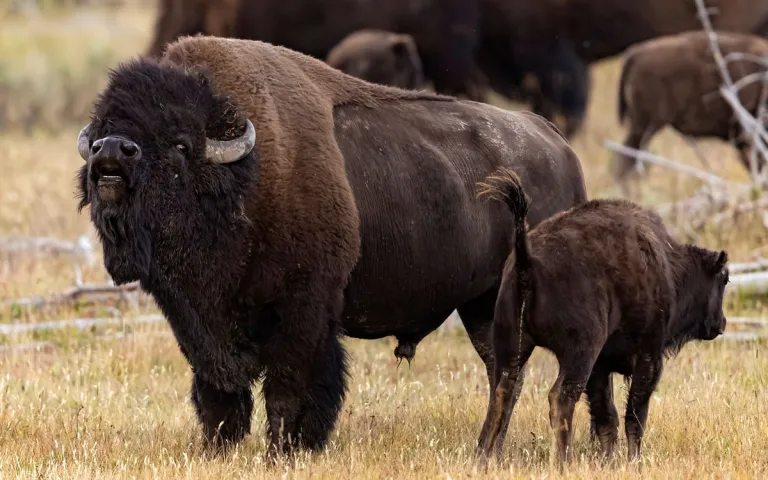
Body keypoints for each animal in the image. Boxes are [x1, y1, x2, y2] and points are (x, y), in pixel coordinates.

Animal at [76, 36, 587, 456]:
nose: (111, 151)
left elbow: (289, 387)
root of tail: (556, 144)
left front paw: (284, 450)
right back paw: (486, 450)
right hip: (481, 305)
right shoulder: (199, 323)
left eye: (180, 145)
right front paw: (217, 450)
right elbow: (218, 392)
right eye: (103, 127)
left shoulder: (303, 310)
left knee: (513, 372)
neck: (244, 177)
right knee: (503, 371)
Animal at [473, 169, 729, 465]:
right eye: (724, 279)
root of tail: (527, 259)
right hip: (579, 353)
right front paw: (633, 461)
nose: (721, 323)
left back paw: (485, 460)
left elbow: (607, 415)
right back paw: (564, 462)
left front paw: (608, 460)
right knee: (560, 398)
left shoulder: (601, 366)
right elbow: (634, 416)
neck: (668, 266)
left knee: (503, 392)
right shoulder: (647, 357)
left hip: (513, 346)